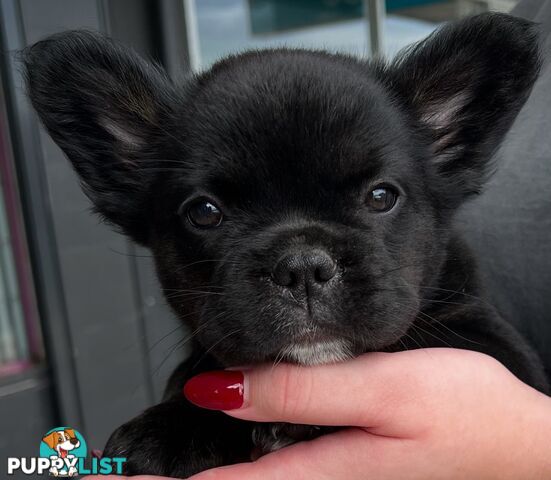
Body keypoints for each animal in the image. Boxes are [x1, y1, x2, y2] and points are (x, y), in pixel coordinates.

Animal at [23, 13, 548, 478]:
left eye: (381, 197)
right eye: (204, 212)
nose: (302, 266)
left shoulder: (496, 347)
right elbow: (195, 376)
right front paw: (174, 424)